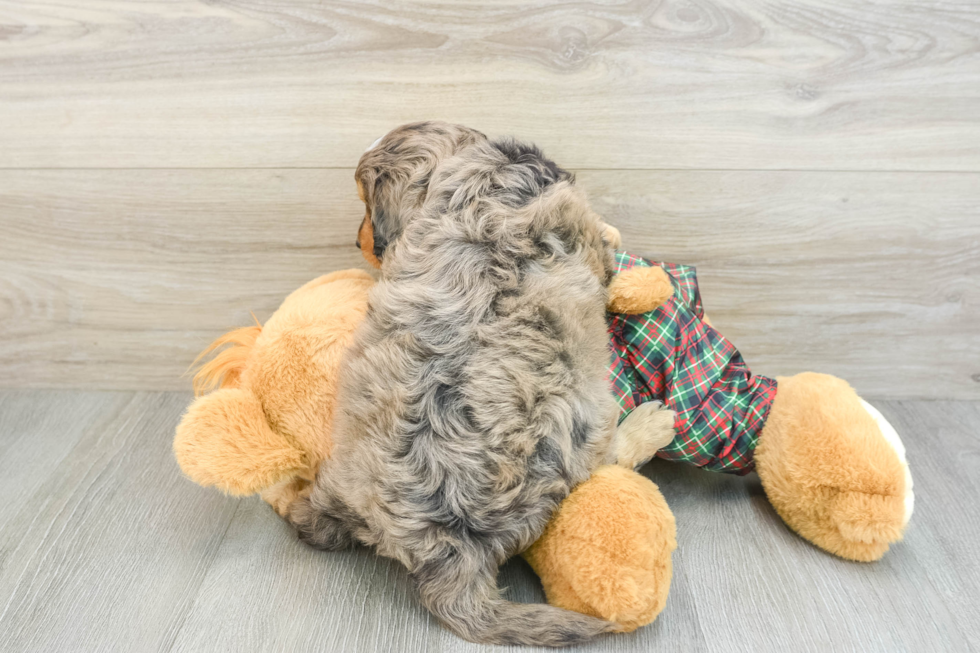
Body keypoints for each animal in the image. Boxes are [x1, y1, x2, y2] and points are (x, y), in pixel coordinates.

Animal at [286, 123, 668, 648]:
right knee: (612, 454)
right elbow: (605, 251)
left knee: (315, 523)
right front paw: (615, 236)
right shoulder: (583, 234)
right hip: (582, 423)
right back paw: (653, 423)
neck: (480, 168)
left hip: (340, 479)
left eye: (365, 204)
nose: (358, 240)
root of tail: (446, 552)